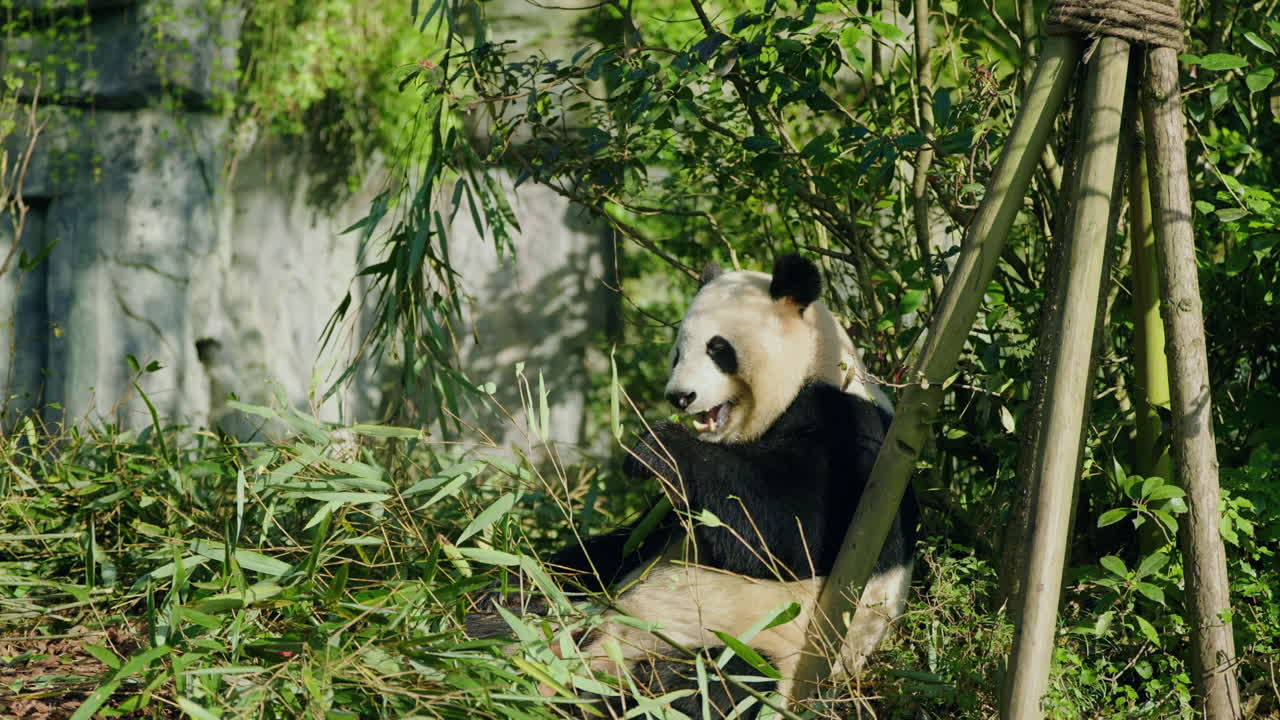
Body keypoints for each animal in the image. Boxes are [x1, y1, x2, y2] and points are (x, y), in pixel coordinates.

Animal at [472, 254, 916, 715]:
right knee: (519, 606)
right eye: (677, 353)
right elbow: (620, 545)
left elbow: (786, 531)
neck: (816, 365)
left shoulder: (852, 442)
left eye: (718, 349)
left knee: (710, 689)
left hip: (753, 645)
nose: (680, 397)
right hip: (586, 614)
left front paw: (656, 448)